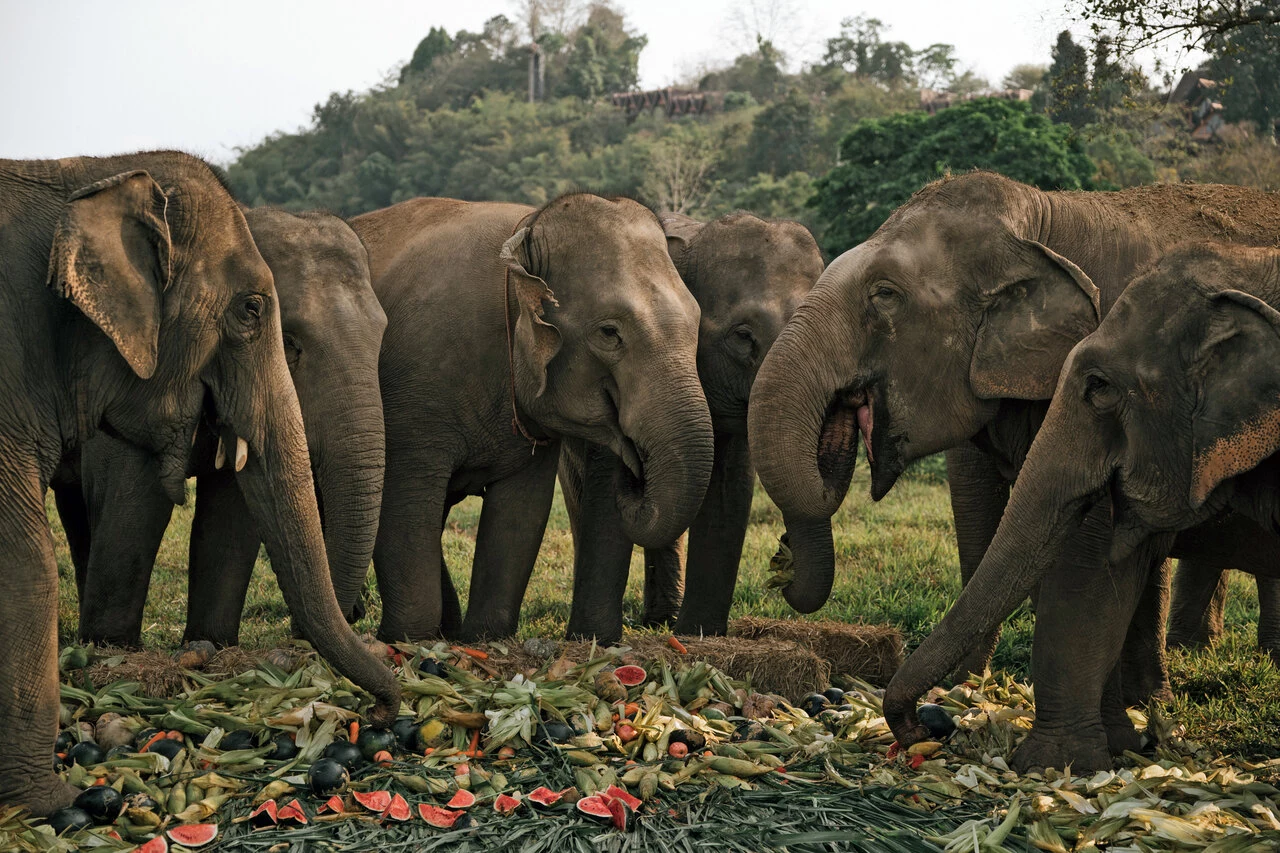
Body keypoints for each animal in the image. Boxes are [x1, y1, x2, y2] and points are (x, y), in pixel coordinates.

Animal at [51, 206, 387, 647]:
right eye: (290, 342)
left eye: (382, 335)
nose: (355, 614)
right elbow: (132, 499)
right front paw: (113, 646)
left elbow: (230, 513)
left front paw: (209, 643)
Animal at [349, 193, 714, 642]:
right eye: (609, 333)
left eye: (697, 323)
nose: (633, 469)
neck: (525, 232)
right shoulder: (415, 385)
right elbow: (405, 506)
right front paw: (407, 641)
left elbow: (520, 514)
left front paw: (484, 638)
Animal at [560, 212, 824, 641]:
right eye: (743, 337)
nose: (783, 551)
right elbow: (602, 486)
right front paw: (593, 639)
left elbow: (729, 487)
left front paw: (700, 634)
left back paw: (663, 621)